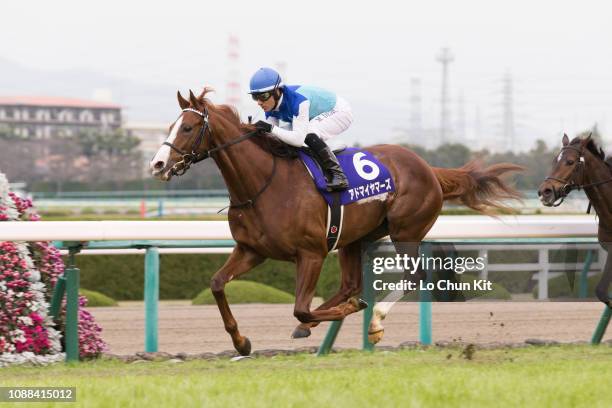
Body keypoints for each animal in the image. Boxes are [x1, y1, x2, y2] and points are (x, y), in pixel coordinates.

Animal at [151, 88, 520, 354]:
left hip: (406, 230)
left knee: (412, 276)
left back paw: (374, 320)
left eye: (187, 127)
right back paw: (324, 321)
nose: (157, 164)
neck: (262, 184)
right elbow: (217, 284)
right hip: (355, 237)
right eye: (170, 126)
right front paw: (241, 342)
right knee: (349, 284)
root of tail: (428, 167)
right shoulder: (251, 250)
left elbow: (301, 306)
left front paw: (350, 312)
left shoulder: (311, 253)